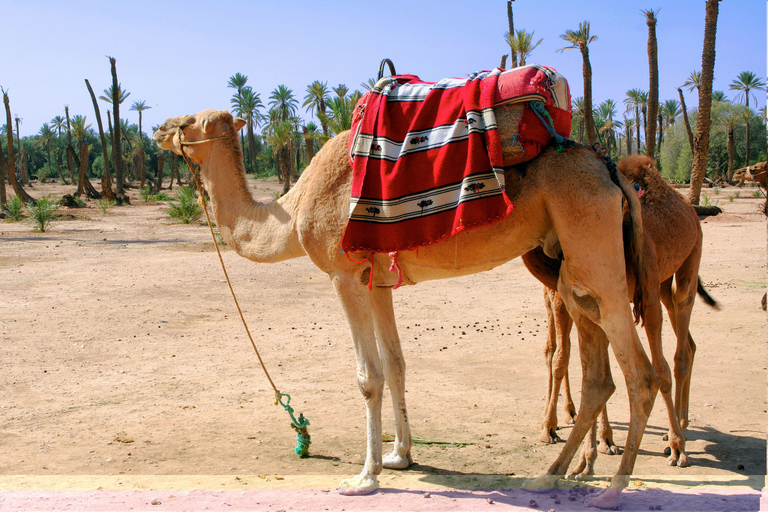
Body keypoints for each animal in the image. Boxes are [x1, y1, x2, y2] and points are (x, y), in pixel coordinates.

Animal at [156, 108, 660, 508]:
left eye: (187, 121)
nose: (159, 129)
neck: (294, 208)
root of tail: (609, 168)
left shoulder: (344, 275)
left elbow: (368, 376)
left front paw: (365, 476)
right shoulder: (377, 281)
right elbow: (396, 364)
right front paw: (400, 455)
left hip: (592, 242)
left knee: (641, 373)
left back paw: (613, 487)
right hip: (571, 267)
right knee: (599, 375)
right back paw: (551, 475)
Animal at [524, 154, 716, 474]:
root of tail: (689, 207)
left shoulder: (639, 292)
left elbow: (657, 369)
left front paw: (675, 447)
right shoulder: (587, 300)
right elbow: (582, 365)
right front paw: (588, 455)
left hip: (688, 261)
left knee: (680, 349)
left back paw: (678, 435)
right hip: (661, 285)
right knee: (687, 342)